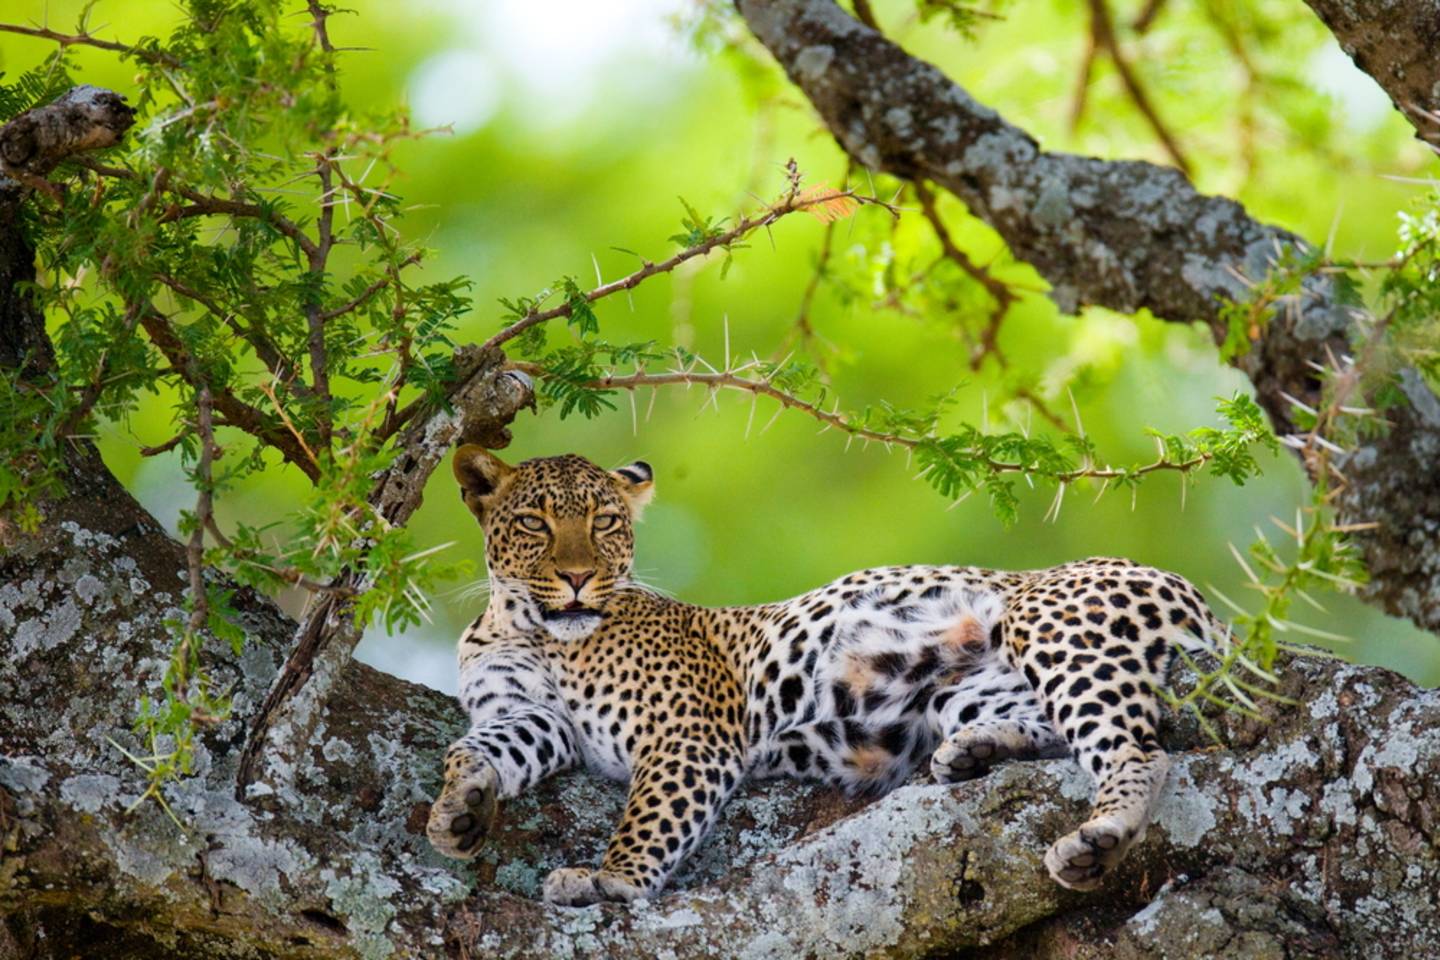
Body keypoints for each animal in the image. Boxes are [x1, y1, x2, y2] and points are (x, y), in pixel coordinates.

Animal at [426, 446, 1226, 903]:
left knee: (1137, 748)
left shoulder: (688, 735)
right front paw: (458, 811)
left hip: (1051, 622)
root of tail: (1198, 595)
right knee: (1053, 726)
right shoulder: (532, 717)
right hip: (964, 689)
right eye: (533, 523)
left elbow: (651, 815)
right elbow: (475, 747)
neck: (531, 630)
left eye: (606, 524)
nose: (577, 578)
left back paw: (1100, 837)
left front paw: (610, 879)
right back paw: (975, 752)